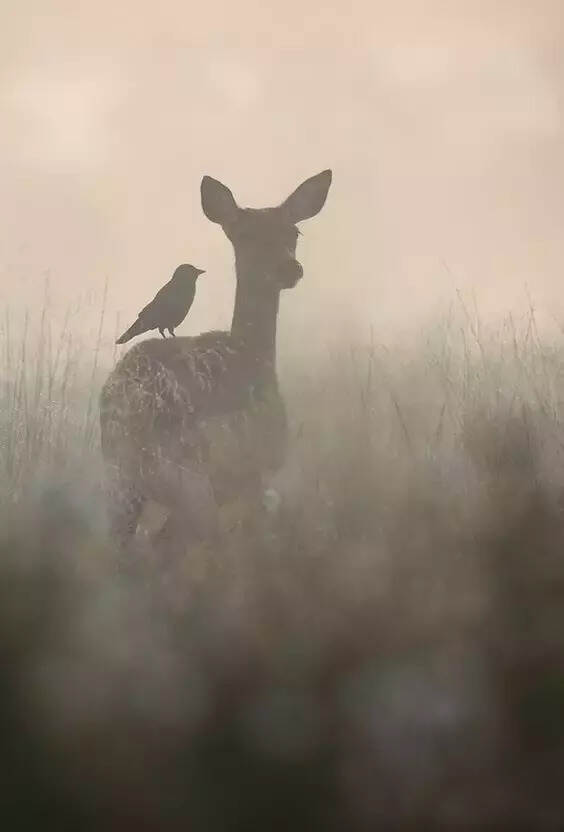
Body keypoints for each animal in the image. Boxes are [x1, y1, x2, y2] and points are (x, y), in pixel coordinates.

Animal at [99, 168, 332, 552]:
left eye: (293, 232)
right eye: (244, 234)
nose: (290, 268)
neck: (254, 351)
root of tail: (128, 402)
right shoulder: (256, 472)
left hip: (119, 483)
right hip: (190, 482)